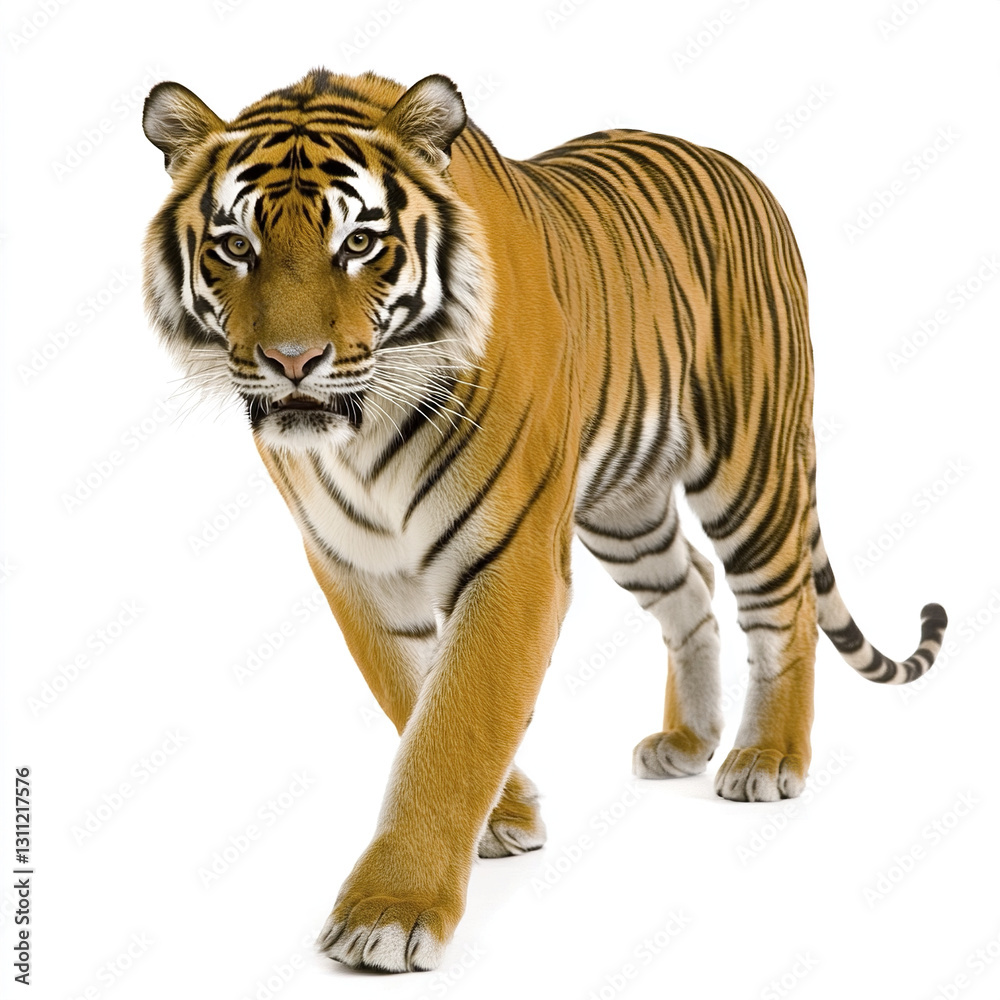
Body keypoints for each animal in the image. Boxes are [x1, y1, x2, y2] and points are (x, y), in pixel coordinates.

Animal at [141, 68, 948, 973]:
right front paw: (508, 815)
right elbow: (412, 696)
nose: (292, 363)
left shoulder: (514, 558)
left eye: (359, 244)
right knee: (691, 588)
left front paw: (390, 914)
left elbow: (457, 721)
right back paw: (687, 740)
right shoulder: (353, 566)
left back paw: (766, 756)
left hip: (753, 466)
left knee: (785, 608)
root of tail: (736, 166)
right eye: (235, 246)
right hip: (627, 510)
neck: (361, 434)